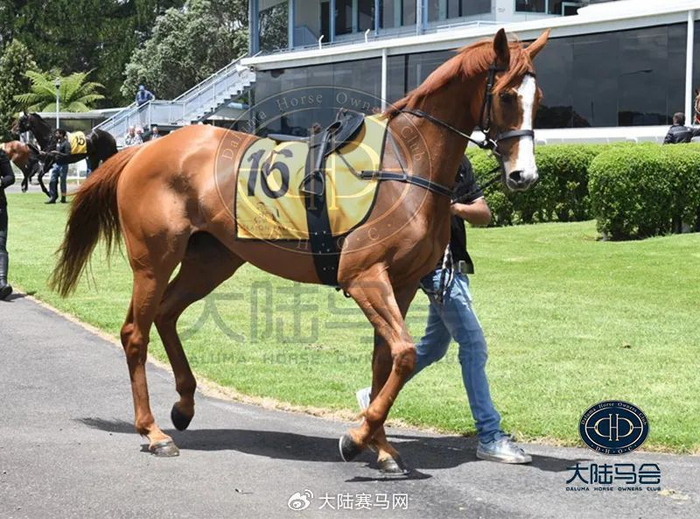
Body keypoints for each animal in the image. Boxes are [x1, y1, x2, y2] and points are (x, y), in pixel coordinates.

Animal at [50, 29, 549, 472]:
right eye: (507, 95)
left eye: (538, 98)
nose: (523, 176)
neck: (404, 167)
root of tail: (143, 150)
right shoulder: (364, 278)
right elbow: (405, 354)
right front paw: (357, 438)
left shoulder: (402, 284)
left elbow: (386, 361)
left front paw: (381, 447)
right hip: (154, 261)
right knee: (135, 332)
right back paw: (153, 432)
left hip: (211, 260)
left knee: (166, 314)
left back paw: (184, 405)